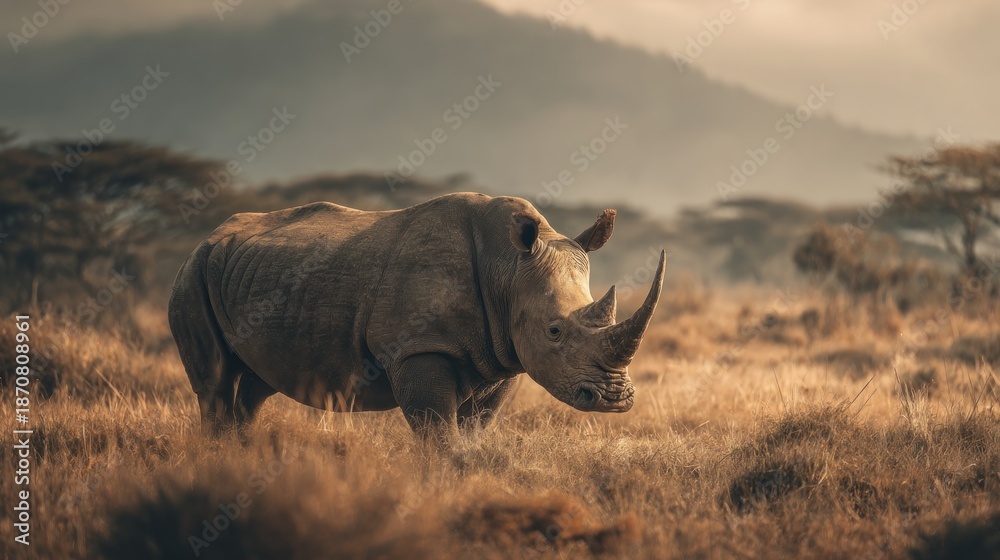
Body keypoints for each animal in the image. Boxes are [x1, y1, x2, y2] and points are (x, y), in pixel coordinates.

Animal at [168, 193, 665, 438]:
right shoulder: (418, 349)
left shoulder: (503, 358)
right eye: (555, 331)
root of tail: (208, 237)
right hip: (192, 275)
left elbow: (472, 434)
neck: (507, 268)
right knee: (214, 383)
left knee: (256, 386)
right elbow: (438, 435)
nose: (613, 398)